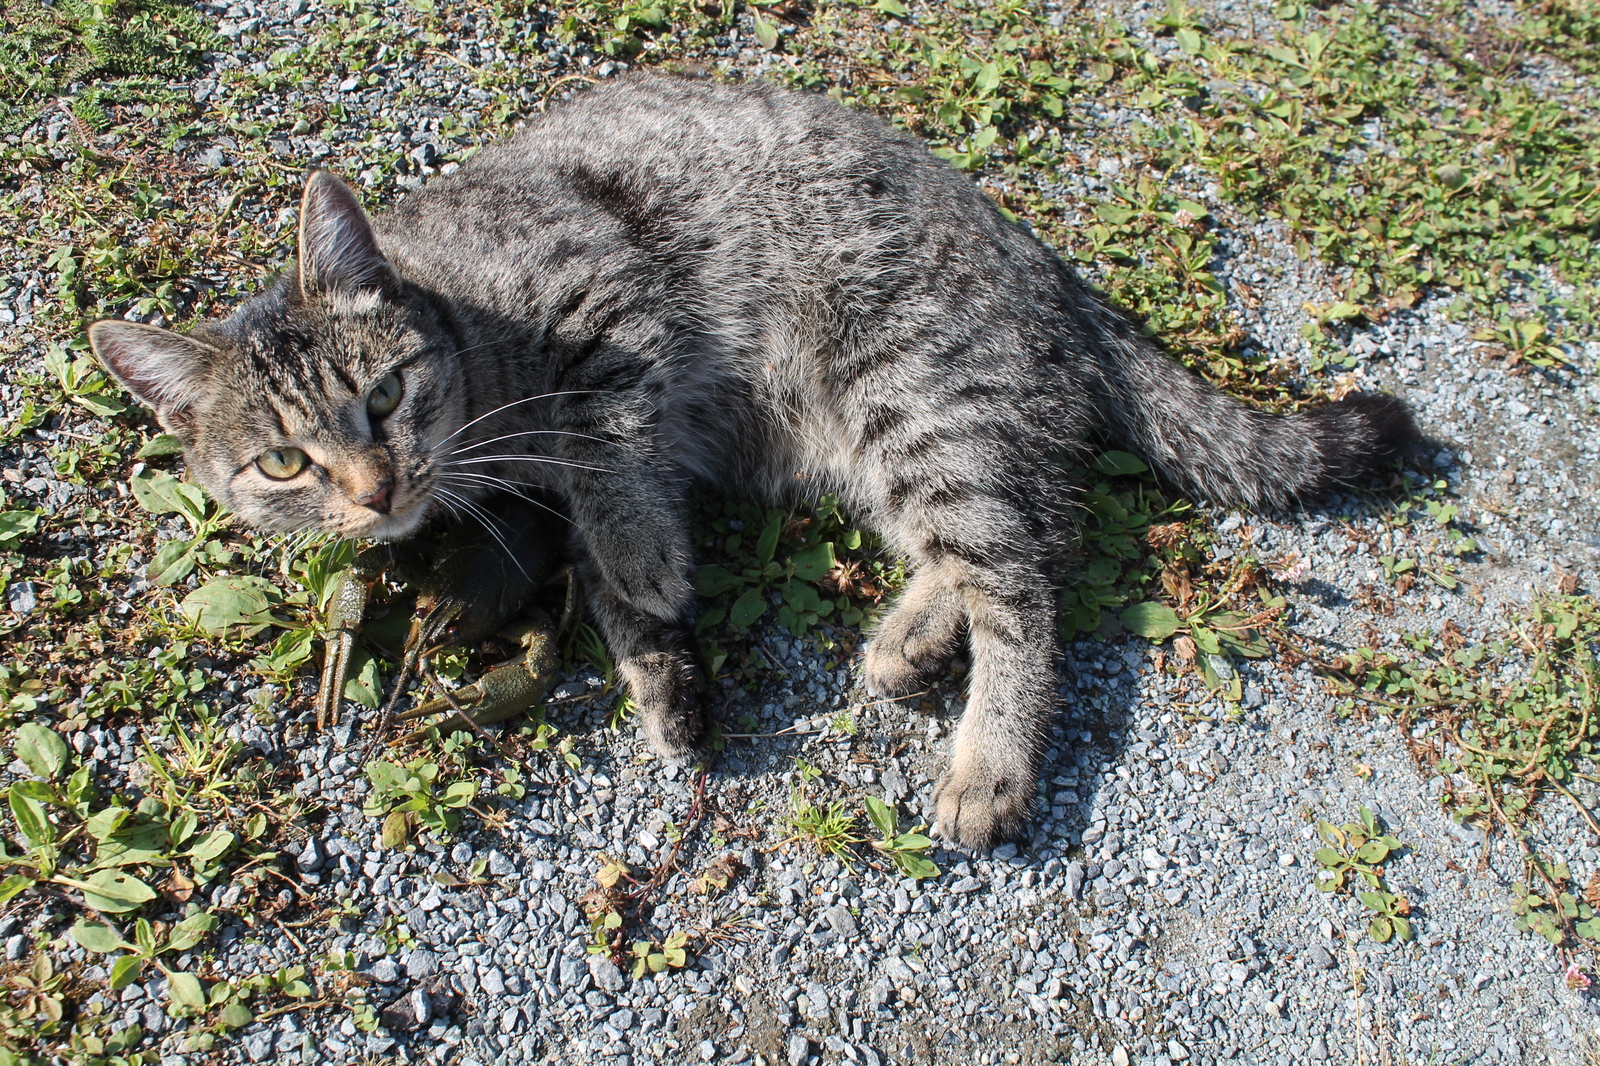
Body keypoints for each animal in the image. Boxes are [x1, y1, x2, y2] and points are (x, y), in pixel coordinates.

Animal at [87, 74, 1414, 845]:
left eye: (383, 393)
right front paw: (659, 675)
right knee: (1004, 537)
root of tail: (1040, 257)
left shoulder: (605, 308)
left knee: (1029, 579)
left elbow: (609, 465)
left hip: (910, 395)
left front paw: (638, 558)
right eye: (280, 465)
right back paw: (908, 636)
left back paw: (987, 758)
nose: (375, 491)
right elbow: (604, 582)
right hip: (894, 440)